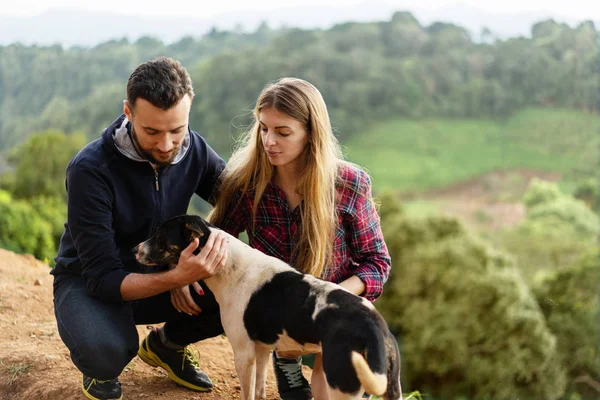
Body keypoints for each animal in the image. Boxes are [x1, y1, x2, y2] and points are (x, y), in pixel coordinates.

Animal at [134, 216, 400, 400]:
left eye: (160, 237)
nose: (133, 249)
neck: (227, 263)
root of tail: (373, 324)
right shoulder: (262, 349)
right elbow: (260, 391)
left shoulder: (244, 353)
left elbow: (248, 393)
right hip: (389, 386)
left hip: (342, 383)